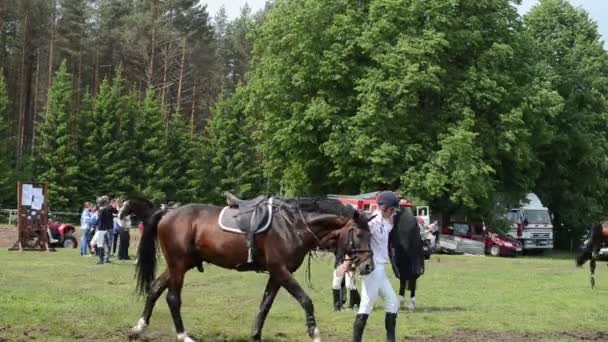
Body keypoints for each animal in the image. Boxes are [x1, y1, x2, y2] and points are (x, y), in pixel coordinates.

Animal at [129, 198, 376, 342]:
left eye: (371, 234)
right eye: (358, 234)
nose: (368, 266)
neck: (293, 226)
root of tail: (168, 212)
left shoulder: (276, 274)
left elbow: (265, 305)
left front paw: (256, 335)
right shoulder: (281, 270)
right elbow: (306, 300)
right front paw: (314, 334)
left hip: (180, 264)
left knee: (155, 288)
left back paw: (138, 328)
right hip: (179, 264)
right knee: (172, 298)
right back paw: (182, 335)